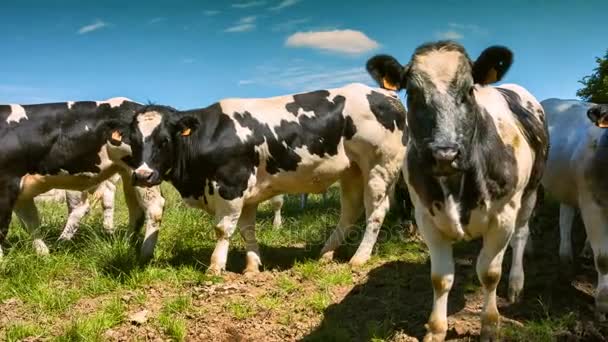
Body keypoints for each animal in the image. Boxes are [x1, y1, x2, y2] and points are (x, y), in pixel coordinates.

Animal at [0, 98, 165, 260]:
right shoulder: (22, 192)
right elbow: (31, 223)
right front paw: (43, 254)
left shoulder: (7, 184)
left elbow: (3, 227)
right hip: (127, 174)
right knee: (135, 209)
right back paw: (126, 242)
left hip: (141, 174)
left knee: (154, 207)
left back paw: (144, 255)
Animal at [126, 83, 406, 276]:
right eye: (134, 141)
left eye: (164, 140)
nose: (142, 175)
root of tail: (386, 95)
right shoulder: (247, 195)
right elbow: (247, 230)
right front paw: (252, 266)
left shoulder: (231, 186)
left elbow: (223, 229)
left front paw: (215, 267)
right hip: (352, 172)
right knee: (350, 211)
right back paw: (326, 253)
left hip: (379, 168)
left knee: (376, 211)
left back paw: (359, 257)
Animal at [366, 41, 552, 340]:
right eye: (413, 93)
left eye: (468, 90)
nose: (445, 154)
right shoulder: (426, 217)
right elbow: (440, 278)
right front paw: (436, 329)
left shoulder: (503, 216)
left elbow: (489, 273)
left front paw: (489, 324)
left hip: (530, 192)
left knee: (521, 235)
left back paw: (516, 284)